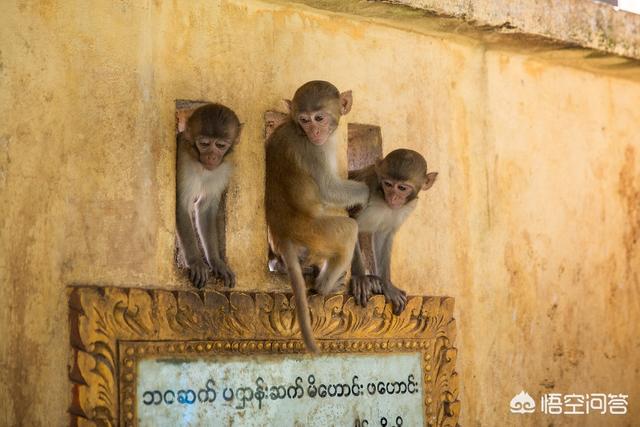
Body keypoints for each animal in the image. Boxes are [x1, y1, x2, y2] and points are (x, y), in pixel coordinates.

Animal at [175, 104, 240, 290]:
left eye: (220, 145)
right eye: (204, 144)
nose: (212, 156)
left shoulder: (222, 168)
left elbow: (206, 208)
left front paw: (216, 261)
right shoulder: (183, 160)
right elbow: (182, 204)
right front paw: (196, 262)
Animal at [264, 82, 370, 352]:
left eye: (319, 118)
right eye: (305, 120)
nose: (314, 130)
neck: (294, 127)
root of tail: (282, 235)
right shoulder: (313, 149)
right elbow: (328, 189)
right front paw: (366, 193)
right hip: (316, 233)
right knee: (347, 229)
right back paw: (325, 286)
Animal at [344, 150, 440, 314]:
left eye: (402, 188)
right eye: (388, 184)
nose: (393, 197)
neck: (382, 198)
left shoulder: (408, 206)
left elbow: (384, 236)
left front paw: (387, 285)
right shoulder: (367, 185)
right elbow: (352, 222)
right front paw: (360, 277)